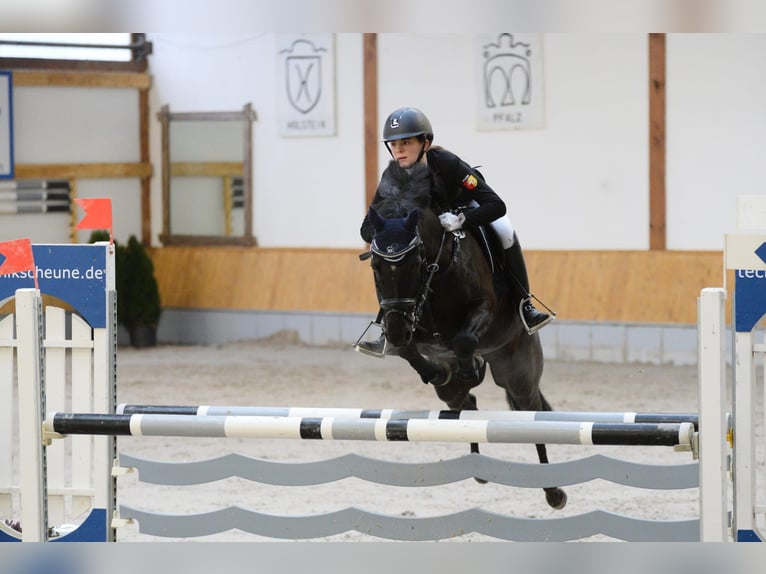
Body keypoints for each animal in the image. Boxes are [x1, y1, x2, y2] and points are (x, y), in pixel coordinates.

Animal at [364, 160, 568, 510]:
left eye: (415, 262)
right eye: (376, 265)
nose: (396, 328)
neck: (438, 268)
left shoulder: (483, 309)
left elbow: (463, 339)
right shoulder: (411, 324)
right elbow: (406, 350)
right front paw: (435, 369)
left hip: (517, 370)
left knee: (531, 410)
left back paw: (553, 491)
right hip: (455, 390)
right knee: (465, 401)